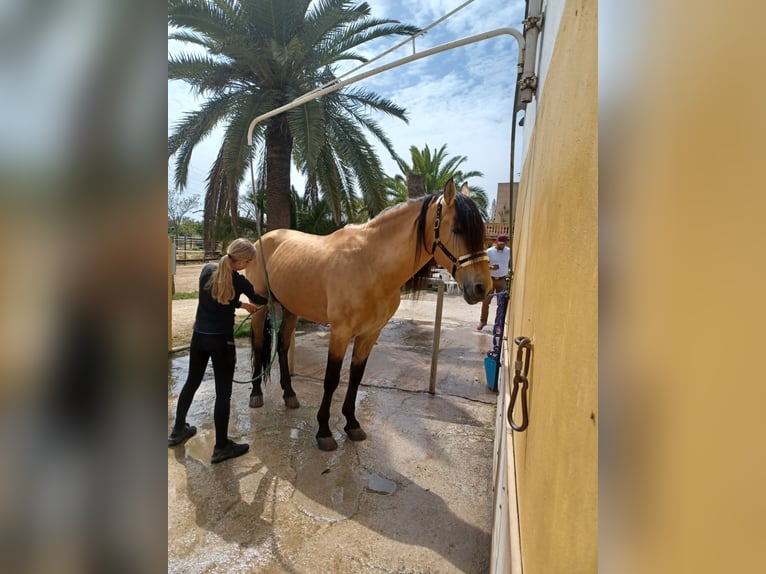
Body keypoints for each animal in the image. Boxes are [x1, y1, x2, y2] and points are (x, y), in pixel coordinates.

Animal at [245, 179, 491, 451]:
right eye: (457, 229)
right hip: (259, 308)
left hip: (291, 310)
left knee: (283, 346)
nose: (482, 287)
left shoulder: (370, 333)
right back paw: (256, 395)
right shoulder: (340, 332)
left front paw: (352, 424)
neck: (370, 264)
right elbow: (331, 379)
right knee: (259, 345)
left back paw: (289, 395)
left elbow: (356, 376)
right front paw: (324, 431)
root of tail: (260, 241)